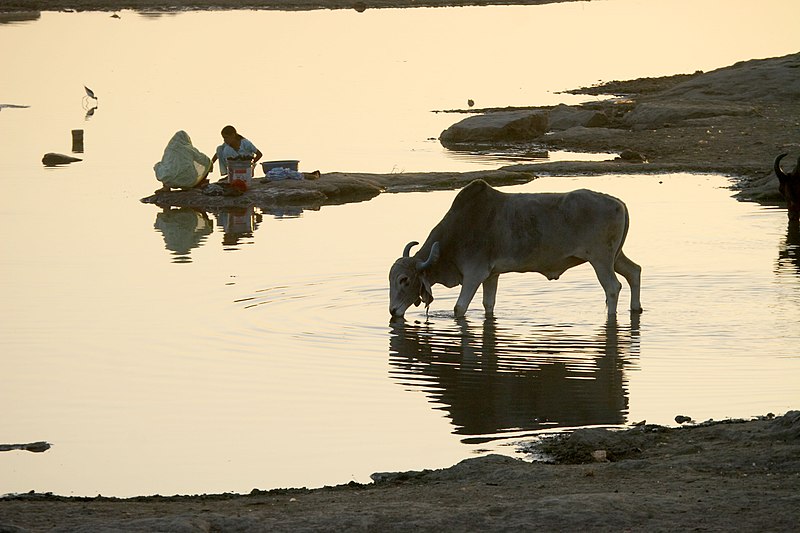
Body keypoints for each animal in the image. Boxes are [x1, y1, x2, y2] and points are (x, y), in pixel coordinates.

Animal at [388, 179, 644, 320]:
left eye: (404, 280)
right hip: (615, 256)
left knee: (613, 287)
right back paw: (636, 308)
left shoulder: (474, 274)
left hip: (601, 259)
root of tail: (618, 202)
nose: (392, 311)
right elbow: (488, 304)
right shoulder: (491, 275)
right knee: (634, 272)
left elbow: (459, 308)